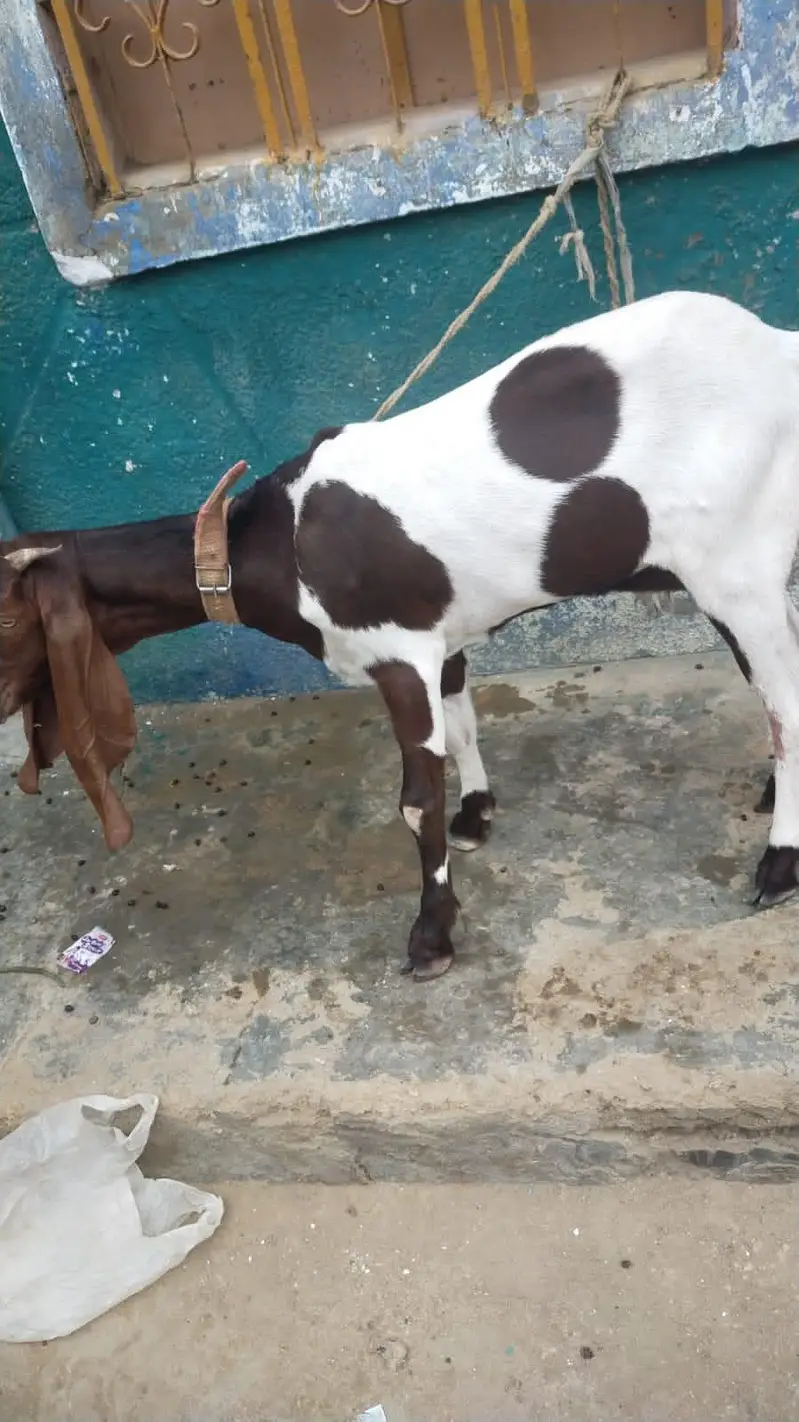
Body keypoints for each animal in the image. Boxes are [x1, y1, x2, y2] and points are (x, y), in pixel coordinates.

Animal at [1, 289, 797, 979]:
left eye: (6, 617)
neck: (275, 543)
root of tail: (776, 344)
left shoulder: (396, 652)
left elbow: (418, 800)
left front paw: (432, 934)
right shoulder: (441, 640)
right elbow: (464, 724)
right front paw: (479, 813)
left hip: (735, 568)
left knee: (783, 706)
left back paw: (779, 862)